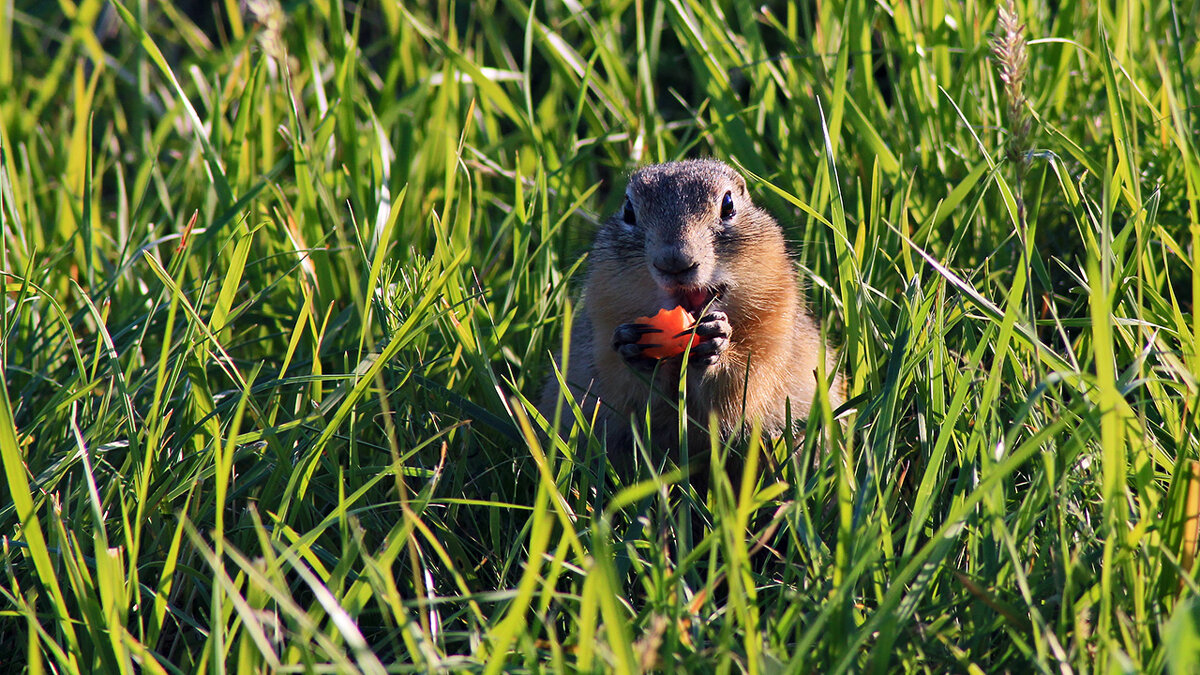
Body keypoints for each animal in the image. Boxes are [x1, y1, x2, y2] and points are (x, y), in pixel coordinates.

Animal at [544, 158, 844, 461]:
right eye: (628, 210)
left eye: (728, 204)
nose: (674, 262)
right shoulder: (601, 328)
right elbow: (624, 390)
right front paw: (633, 349)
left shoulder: (773, 331)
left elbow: (744, 385)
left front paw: (716, 340)